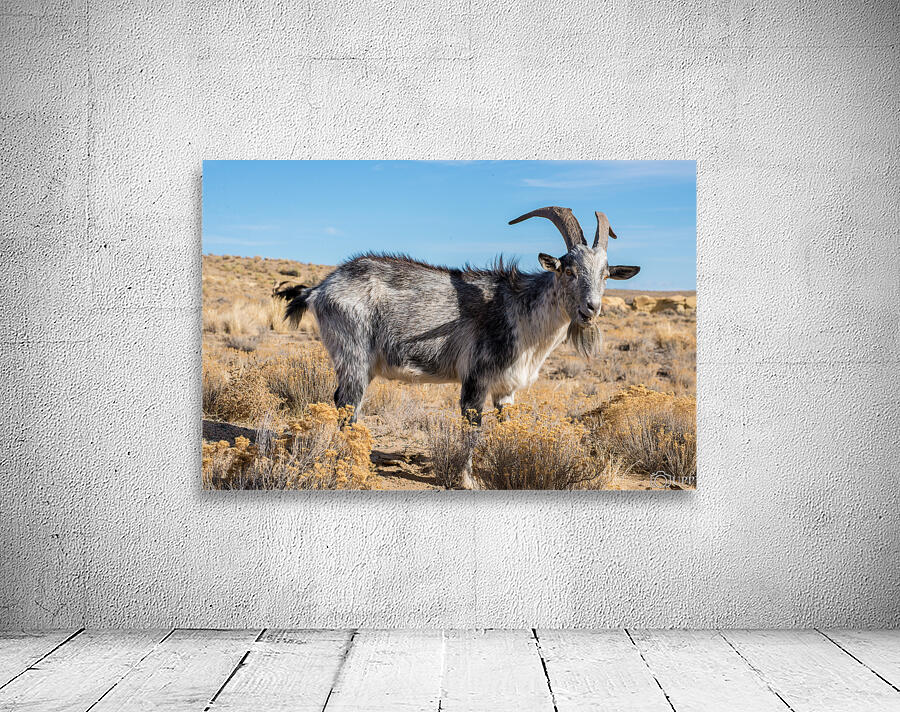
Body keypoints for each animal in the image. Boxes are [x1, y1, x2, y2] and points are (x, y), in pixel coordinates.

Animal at [274, 206, 640, 488]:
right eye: (569, 270)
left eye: (605, 274)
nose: (591, 309)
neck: (519, 312)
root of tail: (320, 289)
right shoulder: (476, 377)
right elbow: (471, 430)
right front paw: (467, 480)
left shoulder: (505, 389)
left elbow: (506, 428)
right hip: (354, 356)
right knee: (346, 405)